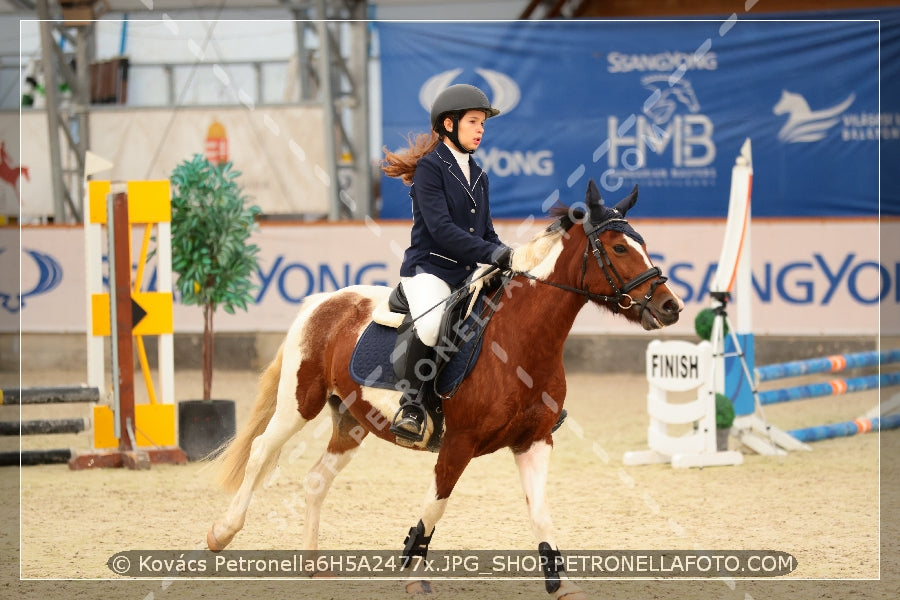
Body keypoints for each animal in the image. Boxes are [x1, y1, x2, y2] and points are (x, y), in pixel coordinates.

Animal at [206, 180, 684, 596]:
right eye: (619, 247)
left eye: (642, 244)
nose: (671, 306)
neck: (522, 342)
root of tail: (324, 300)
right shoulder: (459, 443)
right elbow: (436, 506)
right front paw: (414, 573)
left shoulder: (534, 441)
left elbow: (541, 513)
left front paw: (561, 585)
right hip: (299, 403)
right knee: (261, 452)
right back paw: (221, 533)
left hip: (353, 420)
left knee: (316, 479)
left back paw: (311, 566)